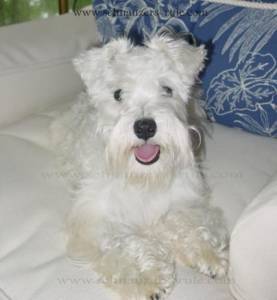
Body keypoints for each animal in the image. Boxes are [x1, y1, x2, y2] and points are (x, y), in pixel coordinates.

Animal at [50, 34, 227, 300]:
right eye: (118, 94)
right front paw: (146, 278)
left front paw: (208, 255)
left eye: (167, 89)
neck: (142, 176)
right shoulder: (95, 218)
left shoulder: (182, 200)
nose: (145, 127)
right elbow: (121, 244)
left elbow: (191, 224)